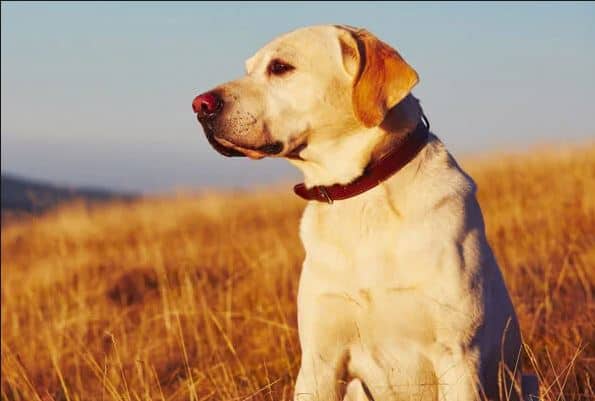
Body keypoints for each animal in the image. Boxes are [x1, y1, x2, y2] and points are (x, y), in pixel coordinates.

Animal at [193, 24, 536, 400]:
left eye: (280, 67)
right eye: (248, 69)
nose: (199, 105)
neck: (359, 194)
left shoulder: (458, 354)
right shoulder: (319, 361)